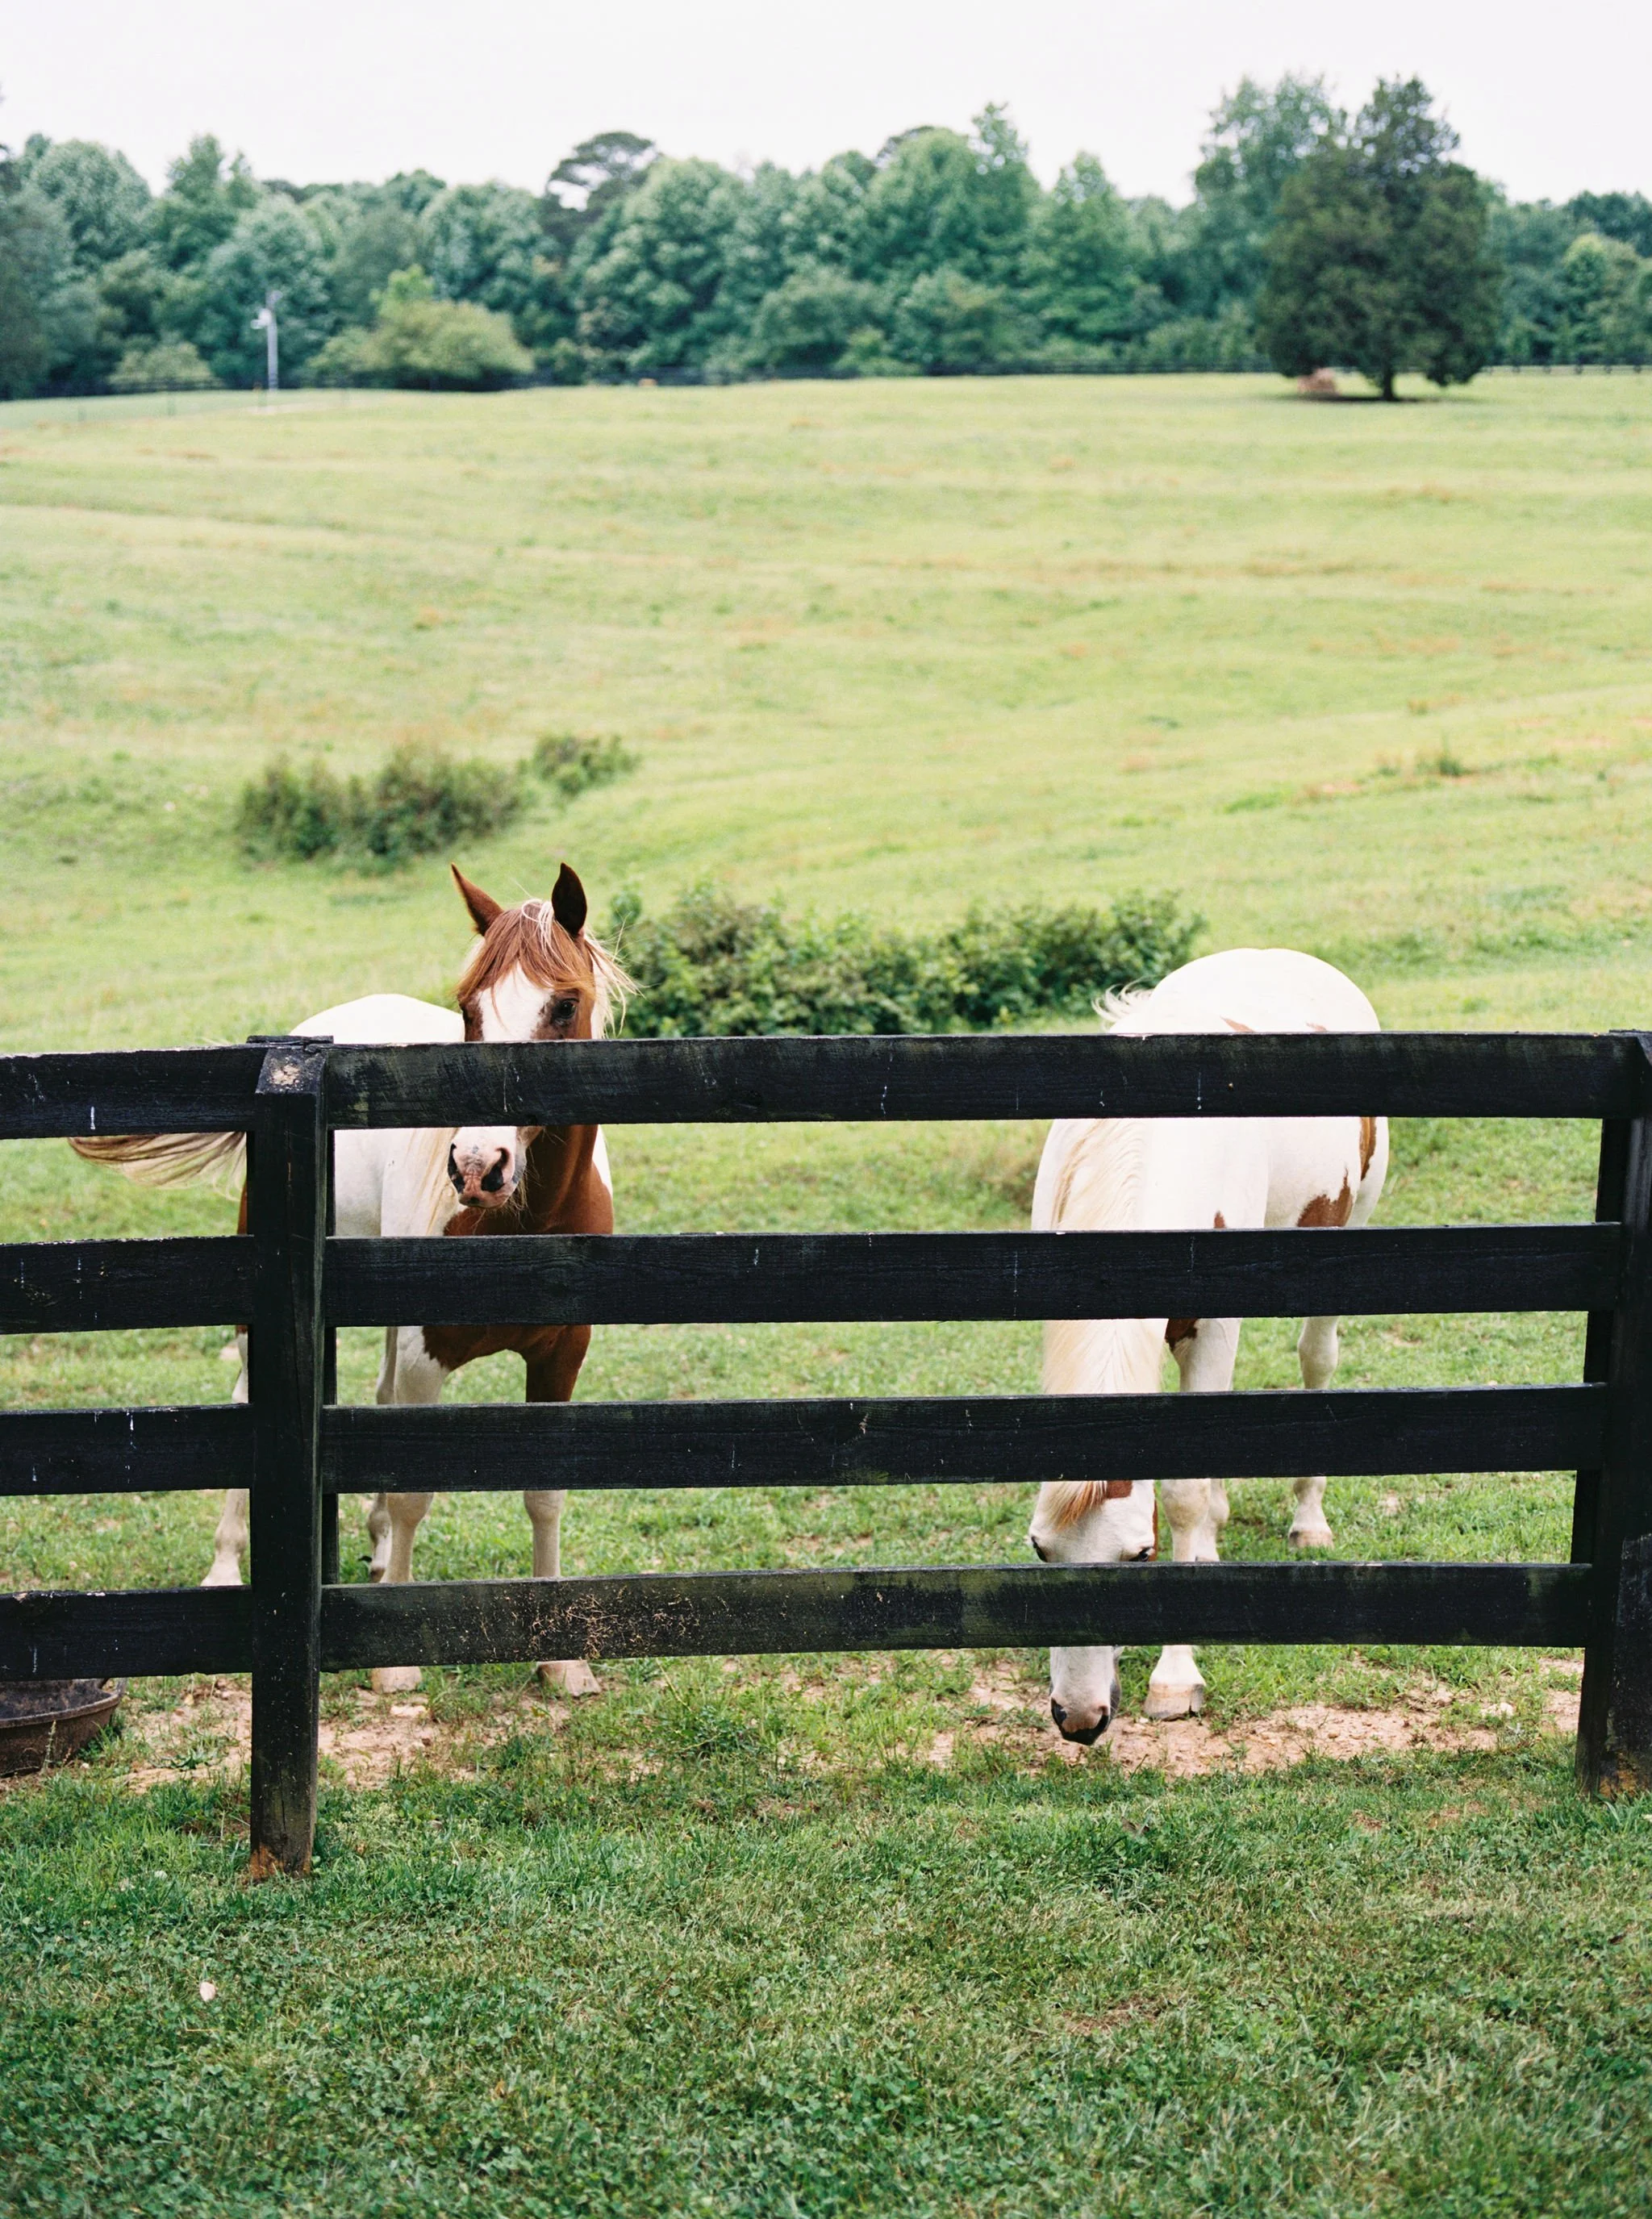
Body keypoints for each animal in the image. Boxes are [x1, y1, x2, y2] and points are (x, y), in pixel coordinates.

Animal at [71, 861, 630, 1698]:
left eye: (563, 1005)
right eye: (470, 1008)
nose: (478, 1166)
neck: (525, 1225)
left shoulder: (562, 1353)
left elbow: (544, 1493)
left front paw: (560, 1659)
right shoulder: (429, 1352)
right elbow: (412, 1489)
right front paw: (395, 1659)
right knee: (249, 1395)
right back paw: (226, 1565)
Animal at [1025, 947, 1388, 1744]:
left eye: (1139, 1555)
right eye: (1040, 1551)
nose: (1080, 1718)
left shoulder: (1213, 1322)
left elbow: (1186, 1493)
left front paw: (1175, 1676)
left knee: (1317, 1361)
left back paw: (1307, 1521)